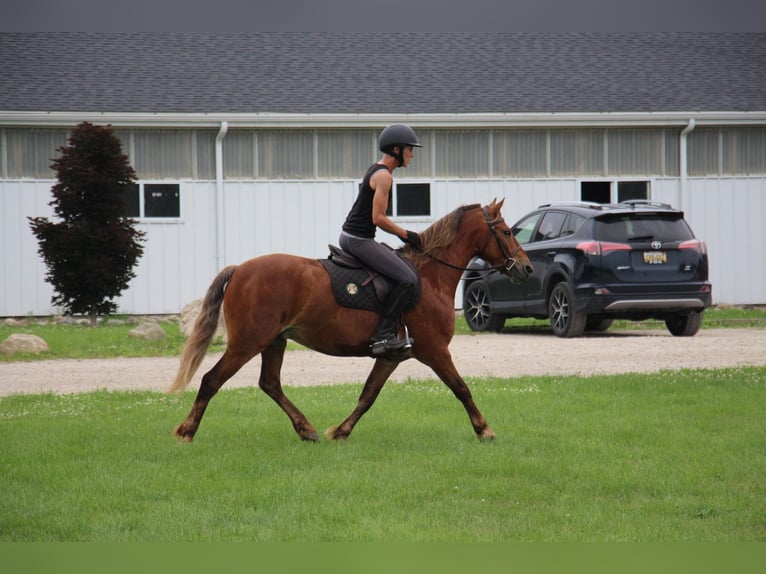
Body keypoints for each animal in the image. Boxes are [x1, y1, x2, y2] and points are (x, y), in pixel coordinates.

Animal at [170, 200, 536, 444]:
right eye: (506, 231)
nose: (527, 268)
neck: (430, 276)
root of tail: (240, 269)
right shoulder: (434, 351)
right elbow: (462, 388)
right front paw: (484, 429)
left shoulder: (392, 356)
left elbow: (368, 395)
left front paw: (341, 431)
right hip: (248, 342)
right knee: (212, 379)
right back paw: (187, 431)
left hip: (275, 340)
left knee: (270, 384)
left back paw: (307, 430)